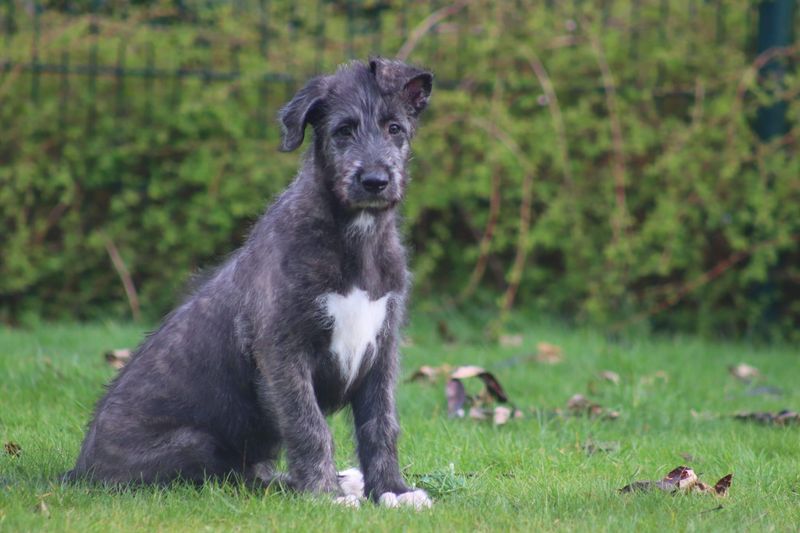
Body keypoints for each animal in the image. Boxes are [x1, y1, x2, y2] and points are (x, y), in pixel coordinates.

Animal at [67, 57, 432, 508]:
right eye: (343, 130)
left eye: (394, 127)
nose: (375, 181)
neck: (355, 238)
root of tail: (79, 473)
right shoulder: (282, 350)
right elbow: (308, 425)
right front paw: (324, 494)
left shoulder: (382, 348)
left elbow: (381, 424)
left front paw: (394, 490)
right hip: (196, 443)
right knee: (237, 478)